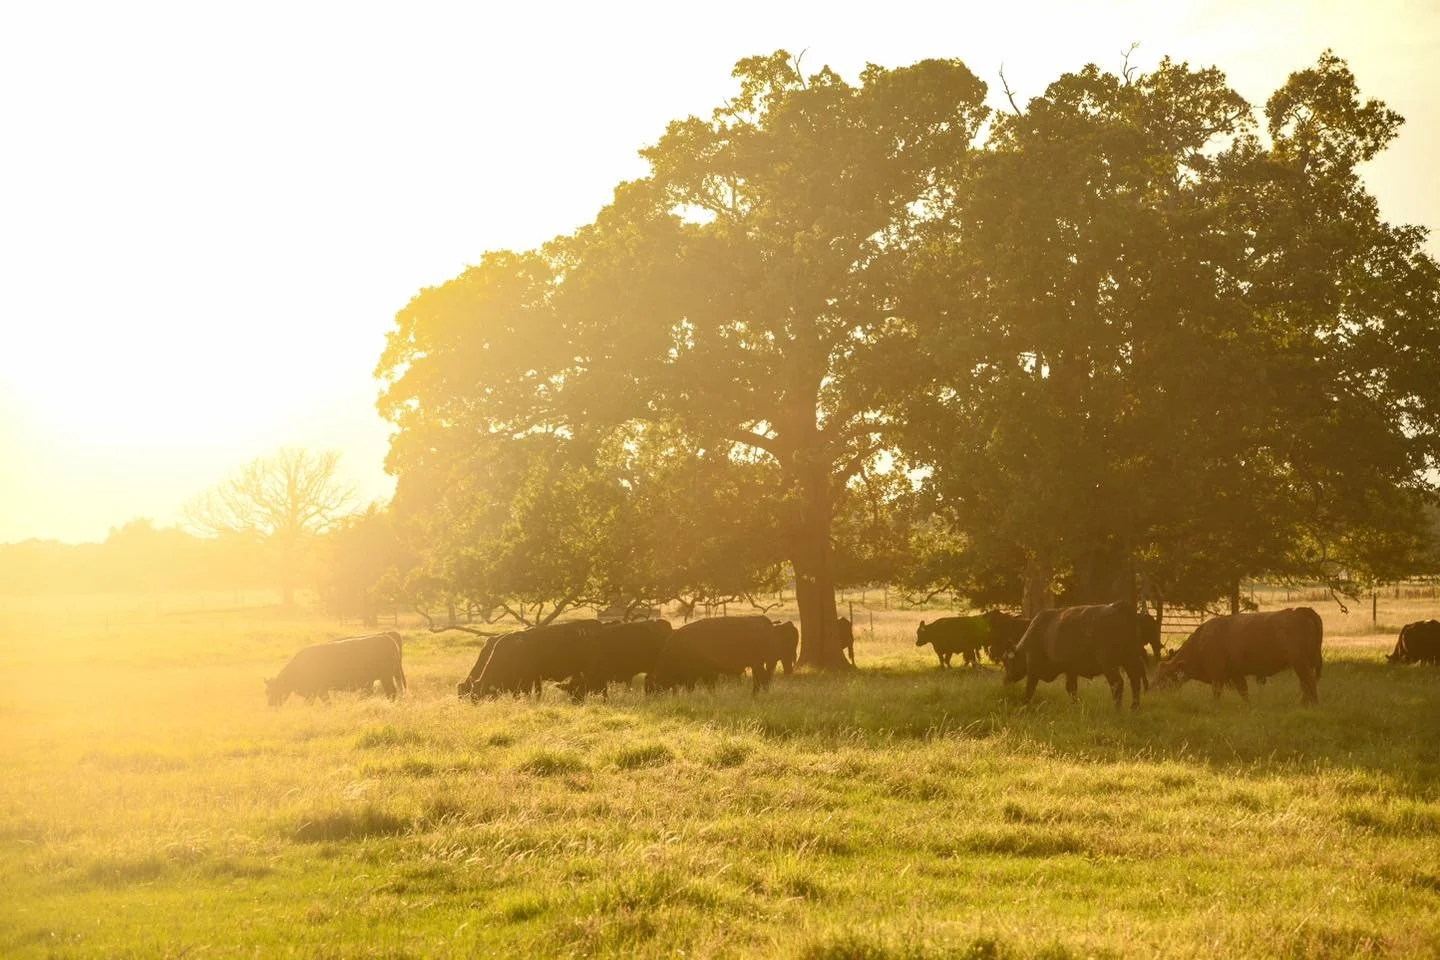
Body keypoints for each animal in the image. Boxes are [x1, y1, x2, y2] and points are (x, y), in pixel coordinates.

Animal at [267, 631, 406, 707]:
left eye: (274, 691)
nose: (271, 706)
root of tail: (386, 637)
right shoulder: (313, 691)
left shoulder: (319, 689)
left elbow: (326, 702)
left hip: (386, 676)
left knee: (391, 692)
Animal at [646, 616, 779, 694]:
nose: (657, 695)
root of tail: (763, 620)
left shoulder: (706, 672)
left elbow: (706, 686)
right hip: (758, 664)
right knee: (762, 678)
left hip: (758, 663)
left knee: (762, 678)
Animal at [1002, 603, 1148, 710]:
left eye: (1007, 662)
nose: (1005, 681)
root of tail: (1119, 607)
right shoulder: (1071, 670)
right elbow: (1071, 689)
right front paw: (1075, 706)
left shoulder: (1033, 669)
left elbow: (1030, 688)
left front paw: (1024, 704)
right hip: (1131, 660)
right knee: (1135, 681)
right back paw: (1134, 708)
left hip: (1109, 663)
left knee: (1117, 683)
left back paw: (1117, 710)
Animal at [1154, 607, 1323, 703]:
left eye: (1166, 677)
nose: (1157, 694)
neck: (1202, 640)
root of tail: (1301, 611)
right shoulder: (1236, 674)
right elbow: (1243, 691)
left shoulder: (1218, 675)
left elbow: (1217, 692)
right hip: (1303, 664)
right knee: (1305, 684)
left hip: (1301, 663)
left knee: (1309, 682)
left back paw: (1311, 704)